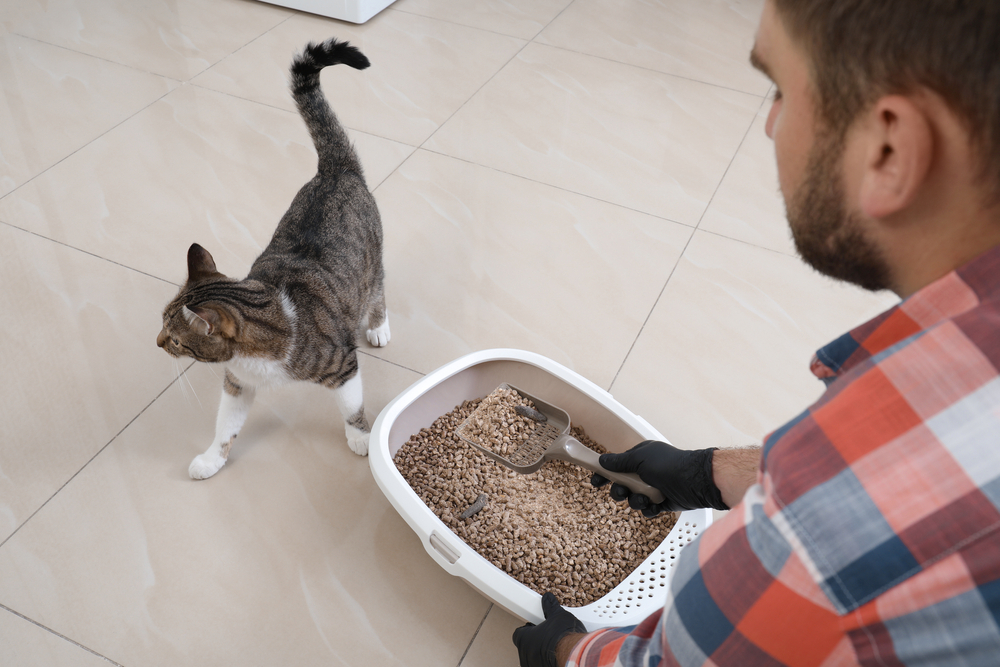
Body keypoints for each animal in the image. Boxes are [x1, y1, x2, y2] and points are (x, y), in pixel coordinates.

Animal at [157, 39, 390, 480]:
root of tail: (335, 170)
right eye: (161, 321)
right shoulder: (237, 382)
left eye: (176, 339)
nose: (157, 342)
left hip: (373, 260)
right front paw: (211, 459)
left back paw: (379, 327)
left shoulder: (343, 365)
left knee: (379, 289)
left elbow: (351, 406)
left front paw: (361, 438)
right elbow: (226, 425)